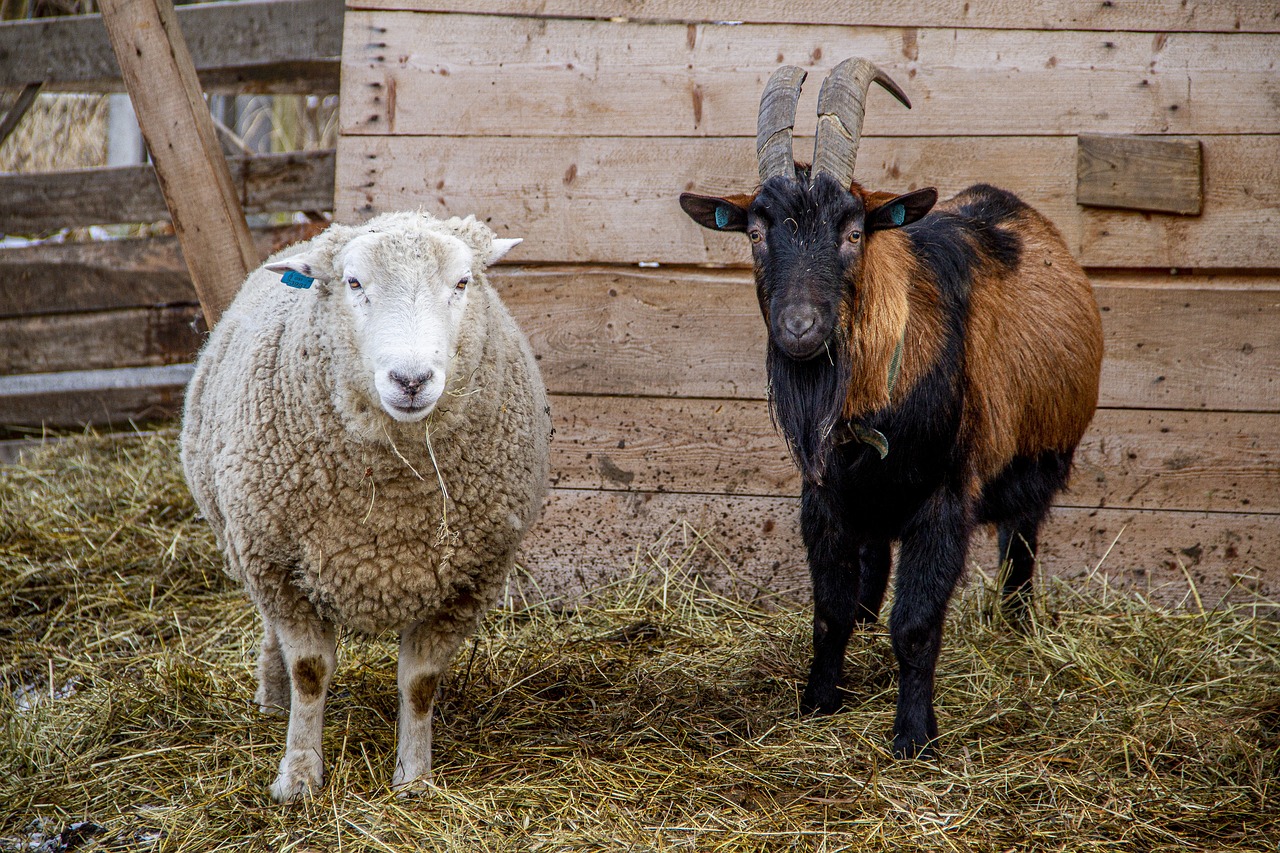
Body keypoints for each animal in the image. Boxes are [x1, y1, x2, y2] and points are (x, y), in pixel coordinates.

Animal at [177, 207, 547, 799]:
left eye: (462, 283)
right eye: (353, 283)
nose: (411, 380)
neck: (391, 496)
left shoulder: (467, 583)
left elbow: (420, 684)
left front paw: (414, 779)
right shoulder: (279, 567)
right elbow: (309, 672)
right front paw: (299, 775)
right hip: (253, 545)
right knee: (271, 633)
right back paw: (272, 699)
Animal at [675, 56, 1105, 753]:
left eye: (853, 231)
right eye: (758, 232)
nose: (798, 328)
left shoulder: (945, 498)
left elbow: (917, 623)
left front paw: (913, 736)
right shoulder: (825, 495)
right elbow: (830, 609)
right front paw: (819, 703)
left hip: (1039, 462)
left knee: (1021, 541)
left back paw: (1015, 627)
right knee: (872, 571)